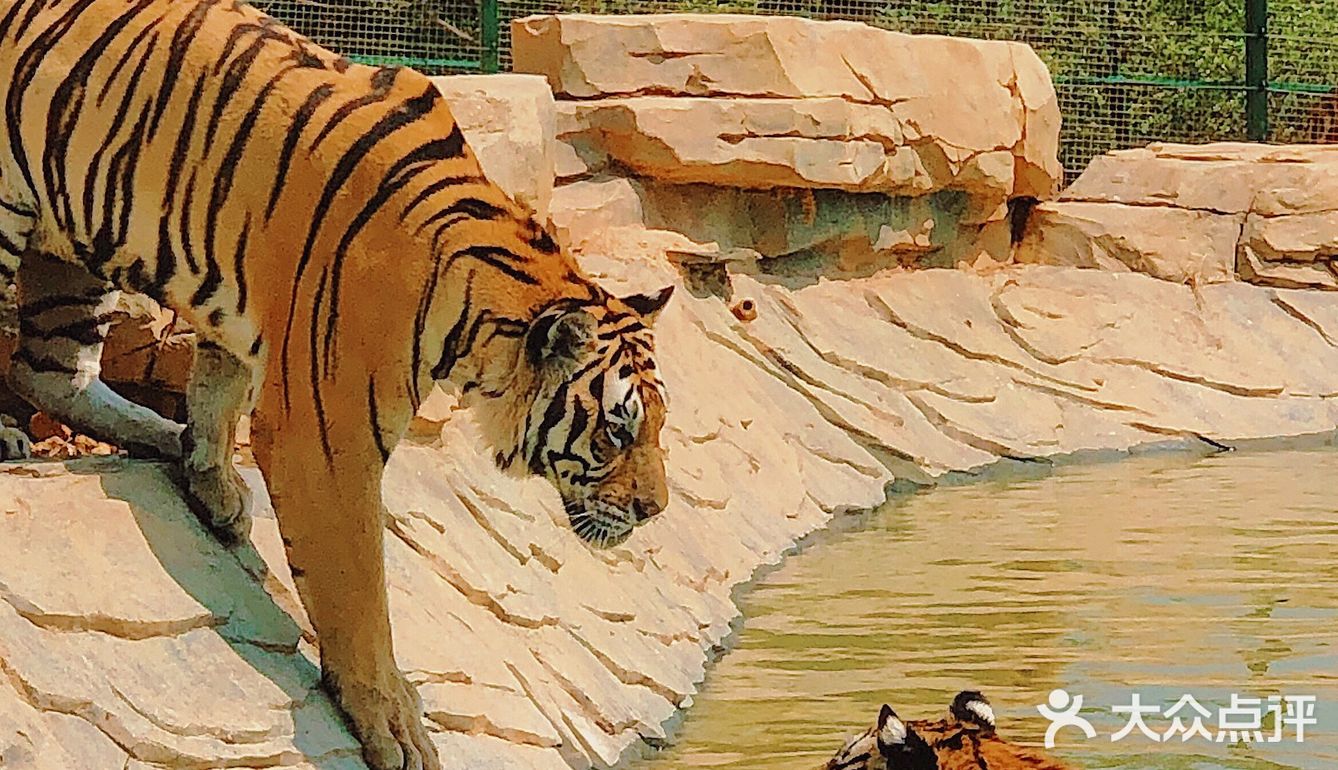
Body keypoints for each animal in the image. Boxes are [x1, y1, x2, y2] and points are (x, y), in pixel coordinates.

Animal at [0, 1, 674, 768]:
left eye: (656, 425)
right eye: (615, 430)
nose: (655, 509)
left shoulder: (237, 314)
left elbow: (217, 390)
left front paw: (212, 479)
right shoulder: (328, 436)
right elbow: (359, 591)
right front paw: (394, 723)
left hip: (74, 242)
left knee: (49, 371)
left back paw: (160, 435)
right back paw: (12, 436)